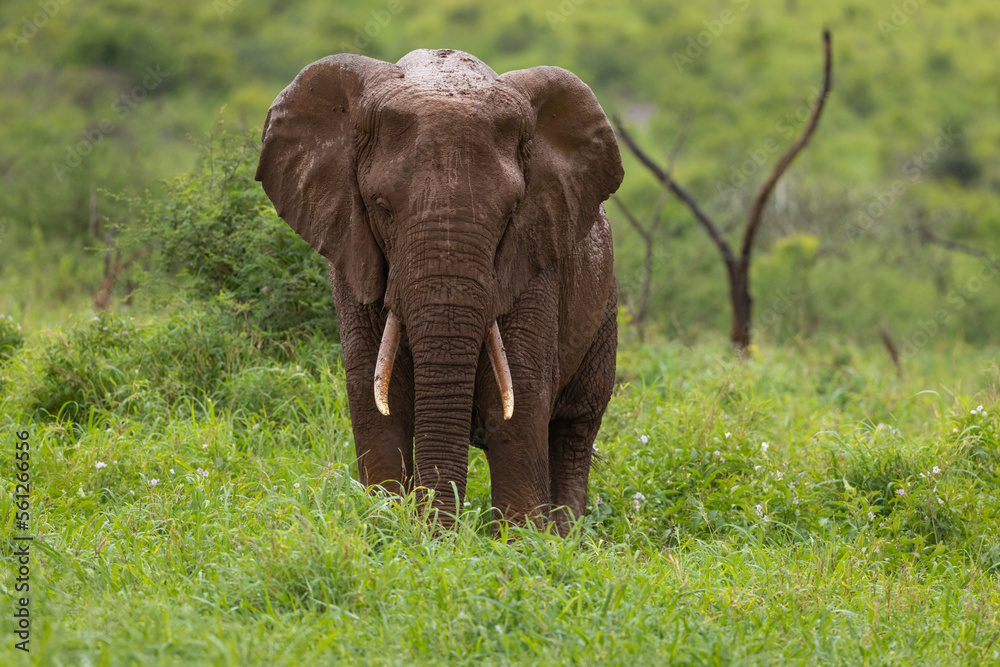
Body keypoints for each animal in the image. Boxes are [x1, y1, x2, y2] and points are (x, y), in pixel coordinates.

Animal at [255, 48, 623, 535]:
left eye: (511, 211)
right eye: (381, 206)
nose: (441, 535)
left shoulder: (533, 261)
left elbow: (519, 394)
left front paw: (520, 542)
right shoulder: (353, 257)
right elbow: (376, 394)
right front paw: (387, 528)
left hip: (604, 308)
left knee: (575, 427)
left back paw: (565, 537)